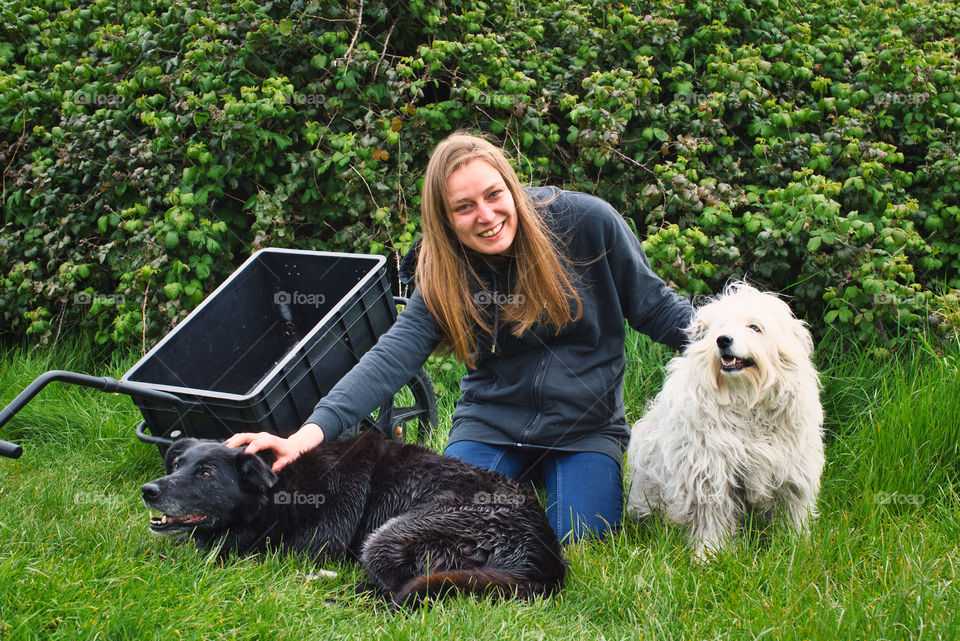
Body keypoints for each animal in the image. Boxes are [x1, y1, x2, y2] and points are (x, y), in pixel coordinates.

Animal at [139, 430, 568, 604]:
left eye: (206, 473)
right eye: (176, 464)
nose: (149, 491)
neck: (281, 490)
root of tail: (542, 560)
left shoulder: (303, 547)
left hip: (387, 537)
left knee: (394, 595)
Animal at [628, 282, 820, 556]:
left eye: (754, 327)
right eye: (720, 328)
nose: (723, 340)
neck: (746, 399)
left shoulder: (792, 471)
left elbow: (792, 512)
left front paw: (797, 544)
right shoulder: (709, 473)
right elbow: (712, 518)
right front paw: (710, 553)